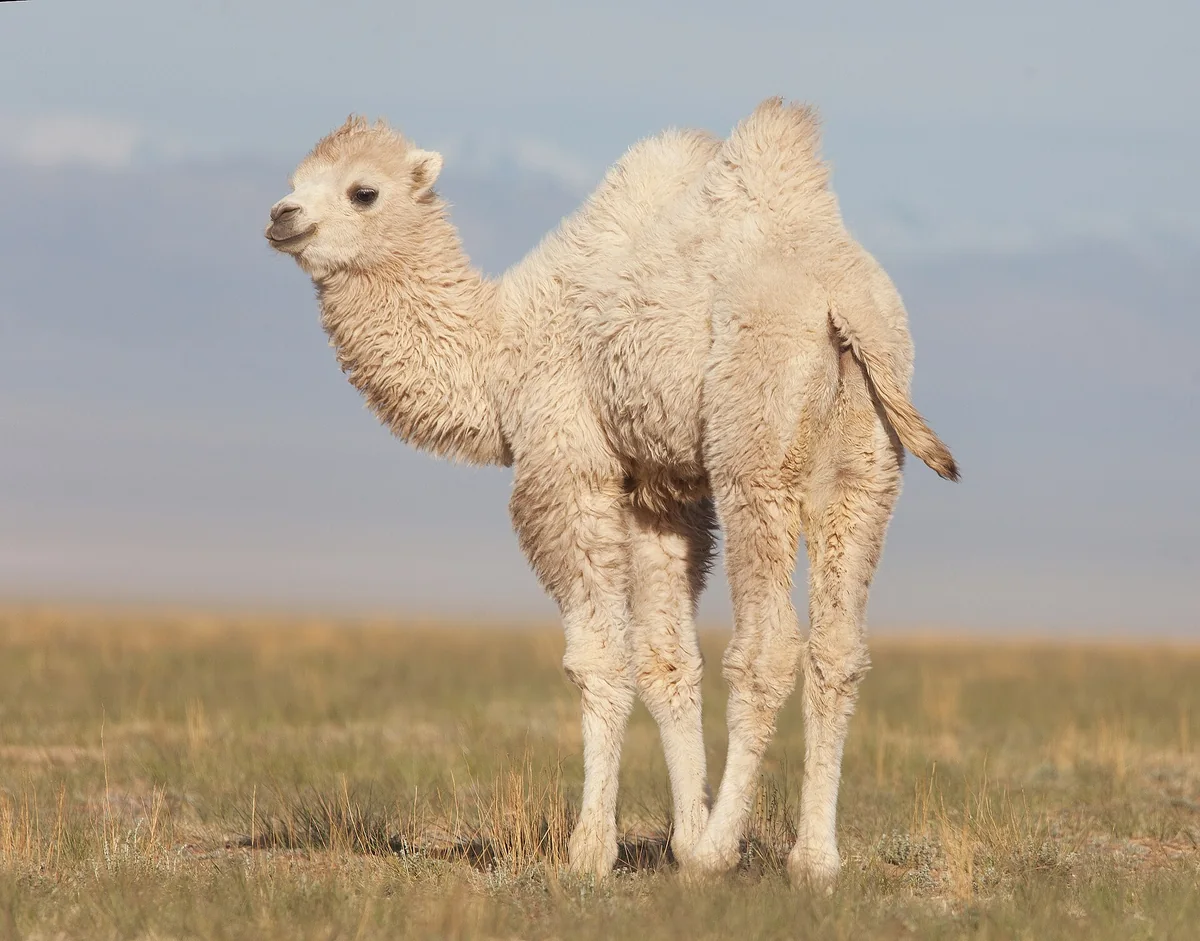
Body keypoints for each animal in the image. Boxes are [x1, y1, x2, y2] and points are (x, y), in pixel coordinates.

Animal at [264, 97, 958, 889]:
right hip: (867, 461)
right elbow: (667, 660)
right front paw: (682, 834)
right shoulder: (662, 490)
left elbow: (598, 659)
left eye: (363, 191)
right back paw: (812, 860)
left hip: (755, 448)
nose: (281, 216)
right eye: (296, 178)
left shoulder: (569, 466)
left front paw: (594, 850)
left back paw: (723, 852)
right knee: (839, 648)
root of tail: (845, 303)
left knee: (769, 646)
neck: (500, 352)